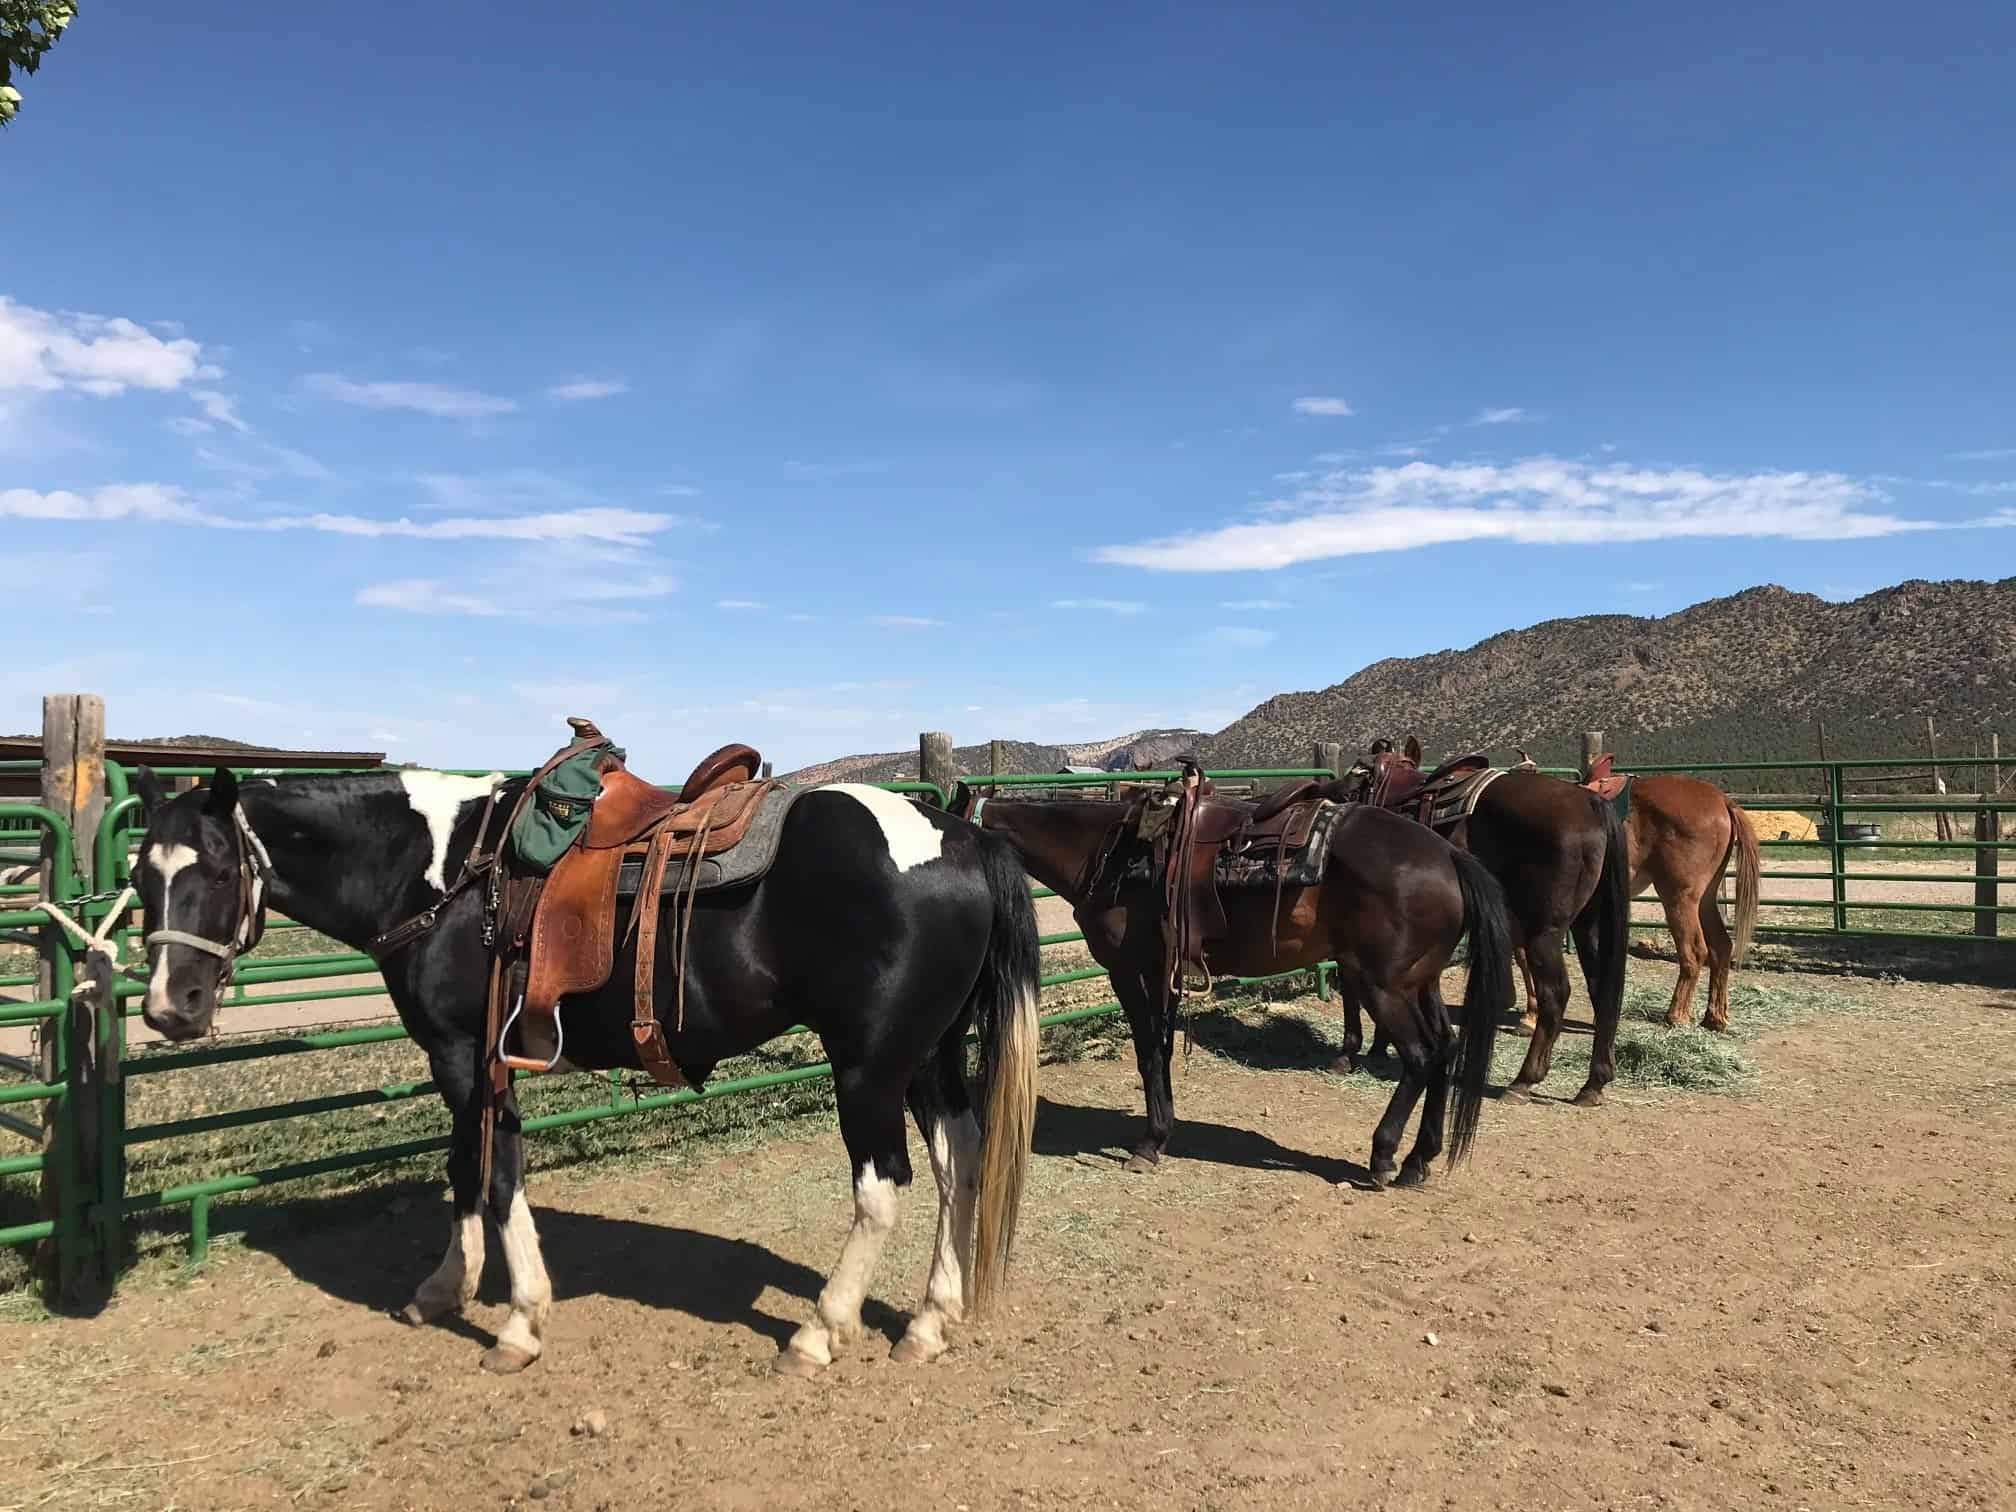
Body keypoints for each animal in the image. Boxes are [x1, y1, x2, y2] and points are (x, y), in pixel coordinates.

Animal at [128, 764, 1041, 1377]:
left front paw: (519, 1324)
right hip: (928, 1055)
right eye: (140, 873)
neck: (445, 875)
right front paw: (443, 1288)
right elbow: (465, 1166)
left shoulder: (464, 1055)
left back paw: (820, 1331)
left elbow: (496, 1174)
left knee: (883, 1184)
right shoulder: (464, 1061)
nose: (171, 1007)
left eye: (217, 867)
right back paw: (930, 1319)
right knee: (961, 1160)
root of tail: (964, 835)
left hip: (868, 1066)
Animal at [949, 782, 1514, 1189]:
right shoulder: (1160, 973)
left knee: (1421, 1056)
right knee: (1446, 1048)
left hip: (1383, 986)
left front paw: (1149, 1144)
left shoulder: (1129, 971)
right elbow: (1160, 1051)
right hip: (1422, 982)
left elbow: (1148, 1053)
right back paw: (1420, 1159)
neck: (1110, 856)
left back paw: (1383, 1156)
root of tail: (1447, 857)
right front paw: (1163, 1132)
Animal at [1333, 737, 1629, 1107]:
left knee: (1556, 995)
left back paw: (1523, 1081)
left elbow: (1350, 984)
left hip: (1544, 933)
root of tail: (1590, 802)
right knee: (1602, 989)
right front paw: (1377, 1046)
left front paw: (1350, 1051)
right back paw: (1594, 1082)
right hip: (1587, 925)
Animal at [1509, 771, 1761, 1034]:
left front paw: (1530, 1015)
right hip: (1705, 899)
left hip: (1679, 897)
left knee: (1693, 952)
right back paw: (1715, 1018)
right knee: (1721, 946)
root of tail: (1722, 800)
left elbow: (1525, 959)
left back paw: (1676, 1015)